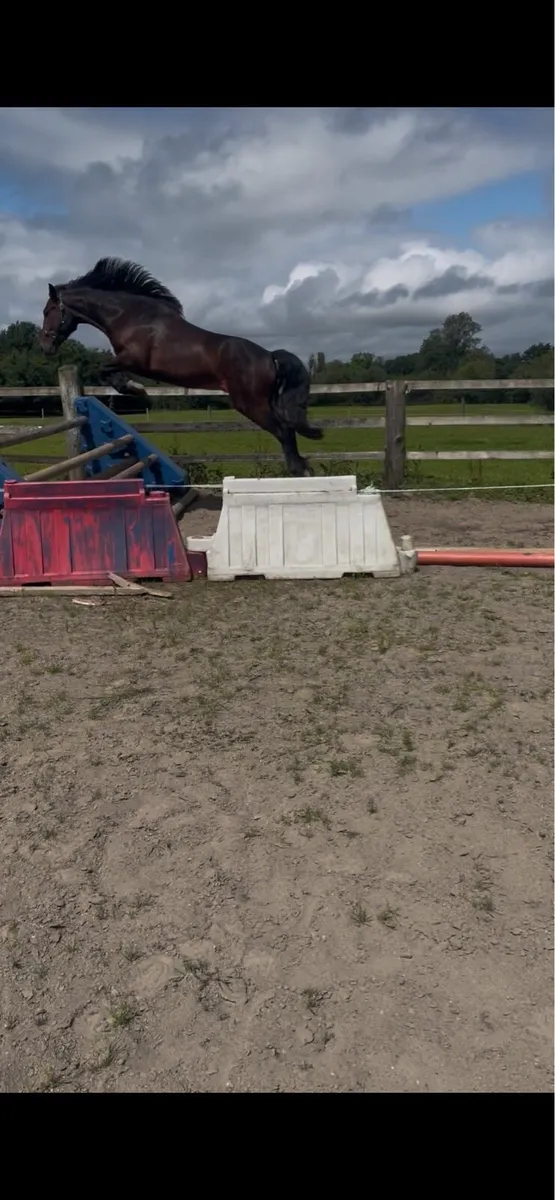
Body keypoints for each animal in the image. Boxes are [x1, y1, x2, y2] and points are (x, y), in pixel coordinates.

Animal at [38, 257, 323, 476]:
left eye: (48, 310)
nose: (45, 346)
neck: (129, 316)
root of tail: (269, 356)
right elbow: (107, 372)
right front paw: (131, 388)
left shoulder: (133, 359)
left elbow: (104, 369)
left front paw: (135, 388)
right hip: (265, 402)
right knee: (288, 428)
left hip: (250, 403)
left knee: (284, 431)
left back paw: (299, 471)